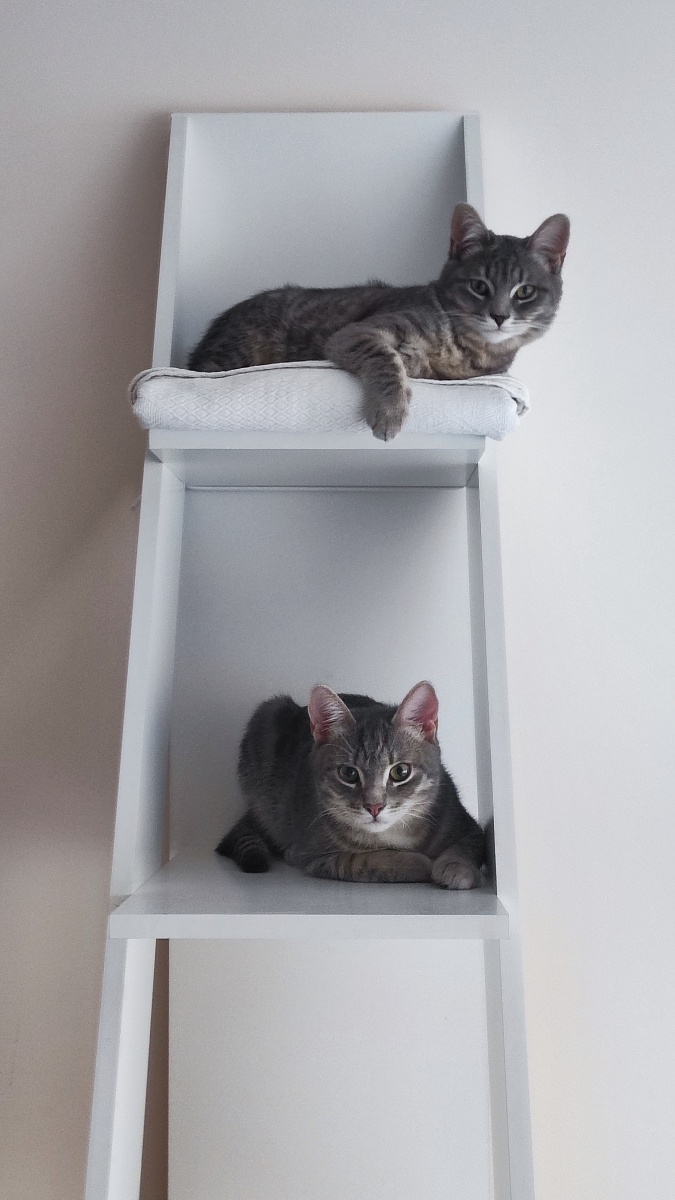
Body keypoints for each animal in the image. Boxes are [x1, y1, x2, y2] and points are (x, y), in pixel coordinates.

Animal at [189, 203, 569, 441]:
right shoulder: (356, 333)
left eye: (525, 291)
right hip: (230, 356)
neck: (465, 349)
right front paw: (390, 412)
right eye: (479, 286)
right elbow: (386, 361)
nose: (500, 316)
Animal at [216, 680, 485, 888]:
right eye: (348, 773)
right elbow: (364, 861)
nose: (374, 806)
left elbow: (467, 846)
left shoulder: (467, 825)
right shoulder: (316, 855)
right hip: (266, 716)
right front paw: (417, 862)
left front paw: (455, 867)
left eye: (401, 772)